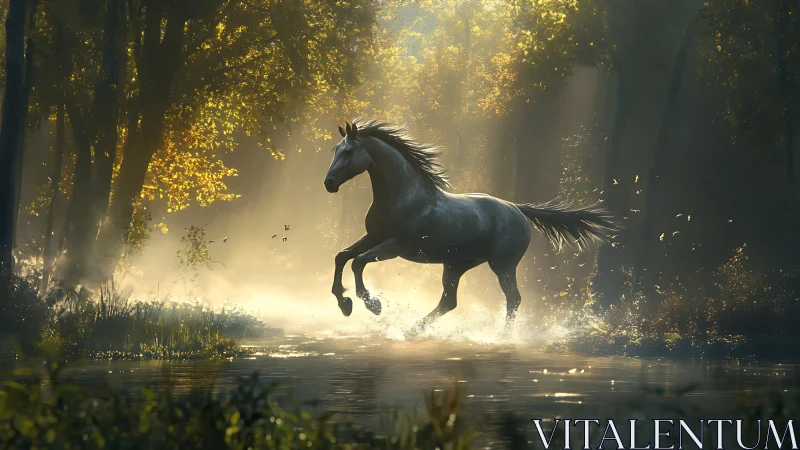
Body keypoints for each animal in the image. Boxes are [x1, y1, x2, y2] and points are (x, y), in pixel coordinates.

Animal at [324, 119, 618, 333]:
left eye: (348, 151)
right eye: (335, 150)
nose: (329, 183)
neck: (403, 196)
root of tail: (517, 210)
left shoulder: (396, 245)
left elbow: (358, 261)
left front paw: (371, 304)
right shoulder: (373, 236)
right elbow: (342, 256)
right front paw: (344, 303)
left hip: (502, 265)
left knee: (513, 299)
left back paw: (503, 338)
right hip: (456, 265)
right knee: (449, 301)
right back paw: (411, 331)